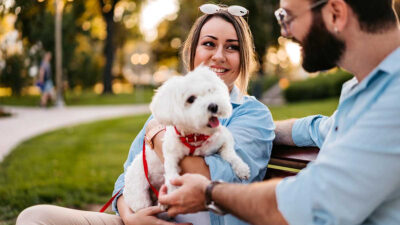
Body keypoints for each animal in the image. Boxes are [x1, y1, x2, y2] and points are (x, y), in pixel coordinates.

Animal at [124, 65, 250, 213]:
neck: (195, 136)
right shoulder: (170, 156)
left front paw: (242, 168)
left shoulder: (223, 138)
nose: (213, 106)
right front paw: (172, 194)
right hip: (139, 196)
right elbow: (171, 175)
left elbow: (230, 154)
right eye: (191, 99)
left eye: (210, 91)